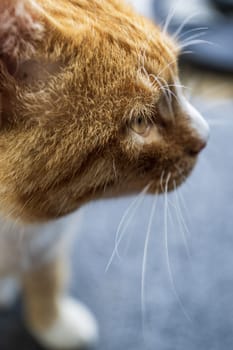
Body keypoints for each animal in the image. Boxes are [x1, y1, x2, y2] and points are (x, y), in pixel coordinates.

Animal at [0, 1, 208, 348]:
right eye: (140, 122)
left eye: (178, 78)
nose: (206, 138)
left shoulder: (51, 243)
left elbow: (48, 277)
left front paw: (53, 324)